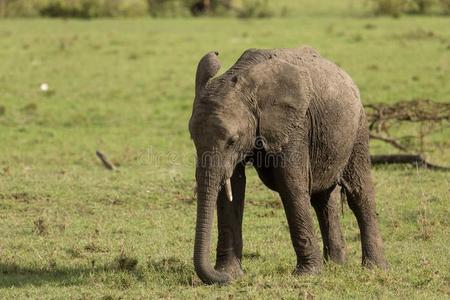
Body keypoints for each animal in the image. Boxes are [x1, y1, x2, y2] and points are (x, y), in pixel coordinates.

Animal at [186, 46, 386, 284]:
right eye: (192, 138)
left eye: (232, 140)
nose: (221, 278)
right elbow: (232, 190)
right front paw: (230, 273)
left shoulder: (295, 125)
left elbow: (290, 184)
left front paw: (306, 274)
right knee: (323, 200)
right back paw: (335, 264)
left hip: (358, 128)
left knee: (359, 193)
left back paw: (374, 267)